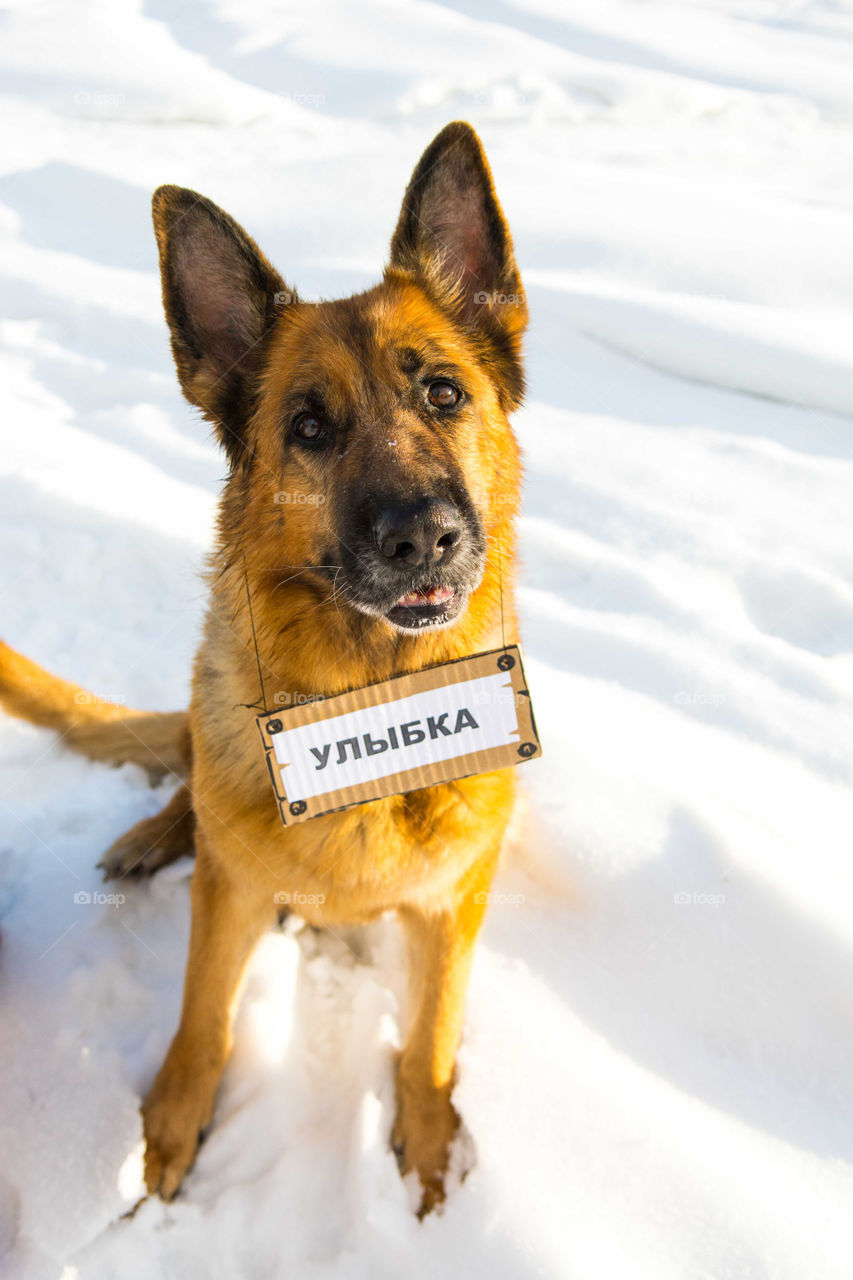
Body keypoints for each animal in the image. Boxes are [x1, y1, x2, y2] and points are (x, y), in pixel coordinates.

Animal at [0, 124, 525, 1213]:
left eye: (443, 393)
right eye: (309, 427)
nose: (424, 535)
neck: (369, 707)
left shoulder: (454, 905)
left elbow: (432, 1033)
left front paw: (427, 1145)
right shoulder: (231, 898)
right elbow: (202, 1013)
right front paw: (166, 1131)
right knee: (192, 780)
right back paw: (154, 834)